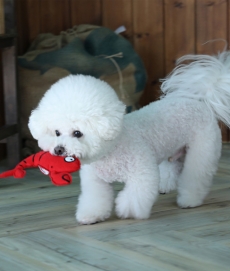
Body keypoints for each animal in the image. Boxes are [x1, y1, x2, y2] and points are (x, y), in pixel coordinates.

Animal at [28, 51, 230, 225]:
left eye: (77, 133)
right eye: (56, 132)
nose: (58, 150)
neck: (112, 149)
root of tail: (200, 101)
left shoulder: (142, 173)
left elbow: (135, 196)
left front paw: (128, 211)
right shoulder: (95, 180)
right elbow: (95, 199)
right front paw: (91, 216)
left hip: (203, 150)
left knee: (196, 176)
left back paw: (189, 200)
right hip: (172, 151)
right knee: (172, 167)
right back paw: (165, 186)